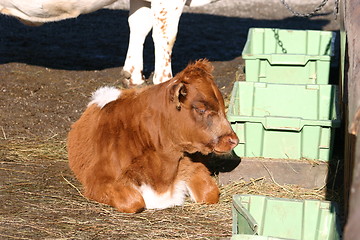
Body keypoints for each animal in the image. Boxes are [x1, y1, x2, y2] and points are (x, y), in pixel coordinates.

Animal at [67, 59, 238, 213]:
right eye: (201, 109)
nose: (233, 140)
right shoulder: (98, 180)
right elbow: (134, 202)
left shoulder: (195, 166)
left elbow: (210, 193)